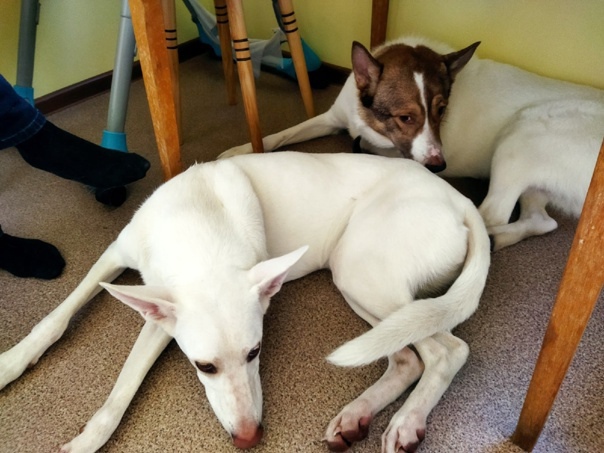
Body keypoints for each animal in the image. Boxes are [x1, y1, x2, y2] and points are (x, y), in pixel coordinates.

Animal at [0, 152, 490, 452]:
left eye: (255, 352)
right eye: (204, 367)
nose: (250, 438)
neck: (198, 226)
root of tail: (460, 199)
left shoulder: (159, 320)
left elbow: (124, 383)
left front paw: (86, 438)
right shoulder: (118, 257)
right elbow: (57, 318)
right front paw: (11, 363)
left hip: (363, 275)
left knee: (447, 350)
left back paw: (406, 421)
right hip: (360, 286)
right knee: (406, 357)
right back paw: (357, 416)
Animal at [219, 36, 604, 251]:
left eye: (442, 110)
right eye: (406, 117)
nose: (439, 165)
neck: (370, 123)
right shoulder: (333, 118)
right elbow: (282, 133)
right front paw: (240, 149)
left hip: (524, 132)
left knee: (490, 214)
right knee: (542, 221)